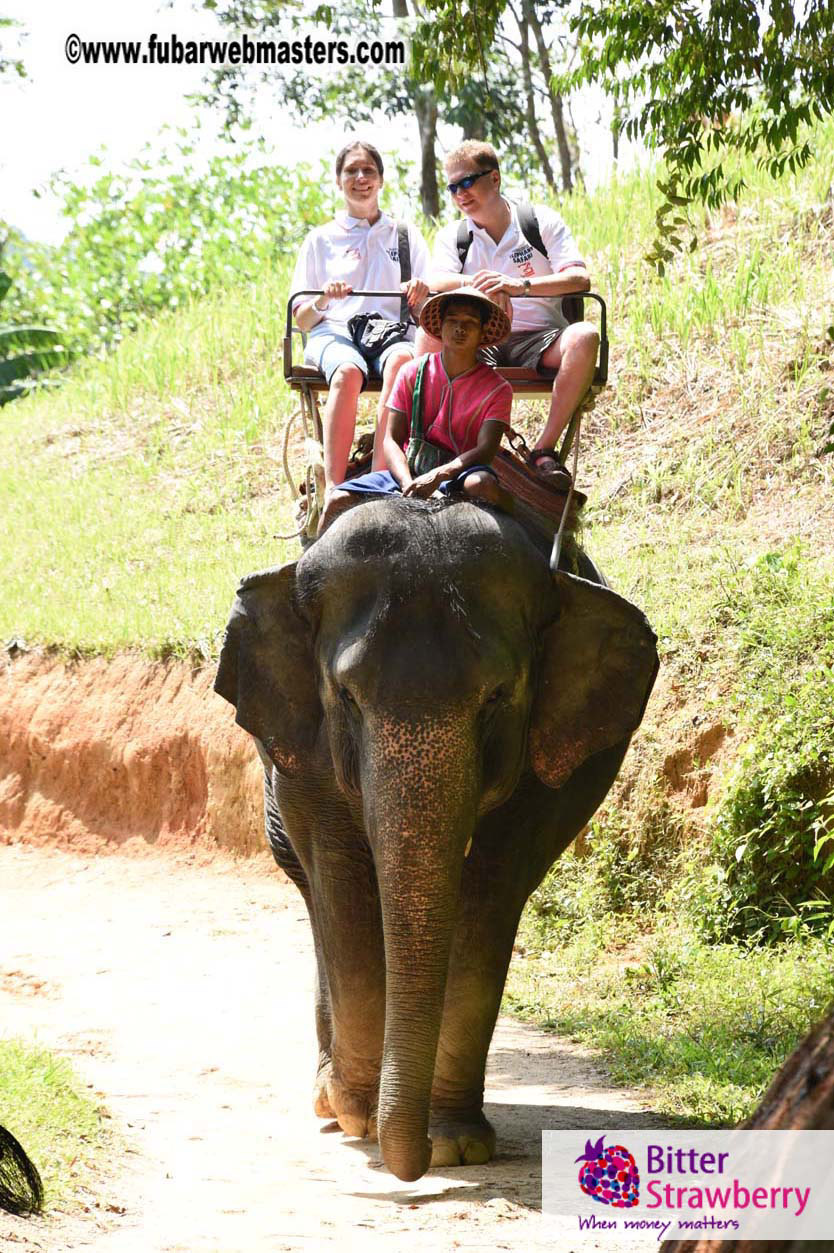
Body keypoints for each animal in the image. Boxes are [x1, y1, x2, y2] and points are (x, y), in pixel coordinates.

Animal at [215, 496, 658, 1183]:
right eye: (346, 696)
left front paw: (453, 1145)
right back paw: (330, 1101)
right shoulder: (305, 752)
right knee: (311, 886)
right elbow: (341, 877)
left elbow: (491, 892)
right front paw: (361, 1119)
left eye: (497, 697)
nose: (411, 1165)